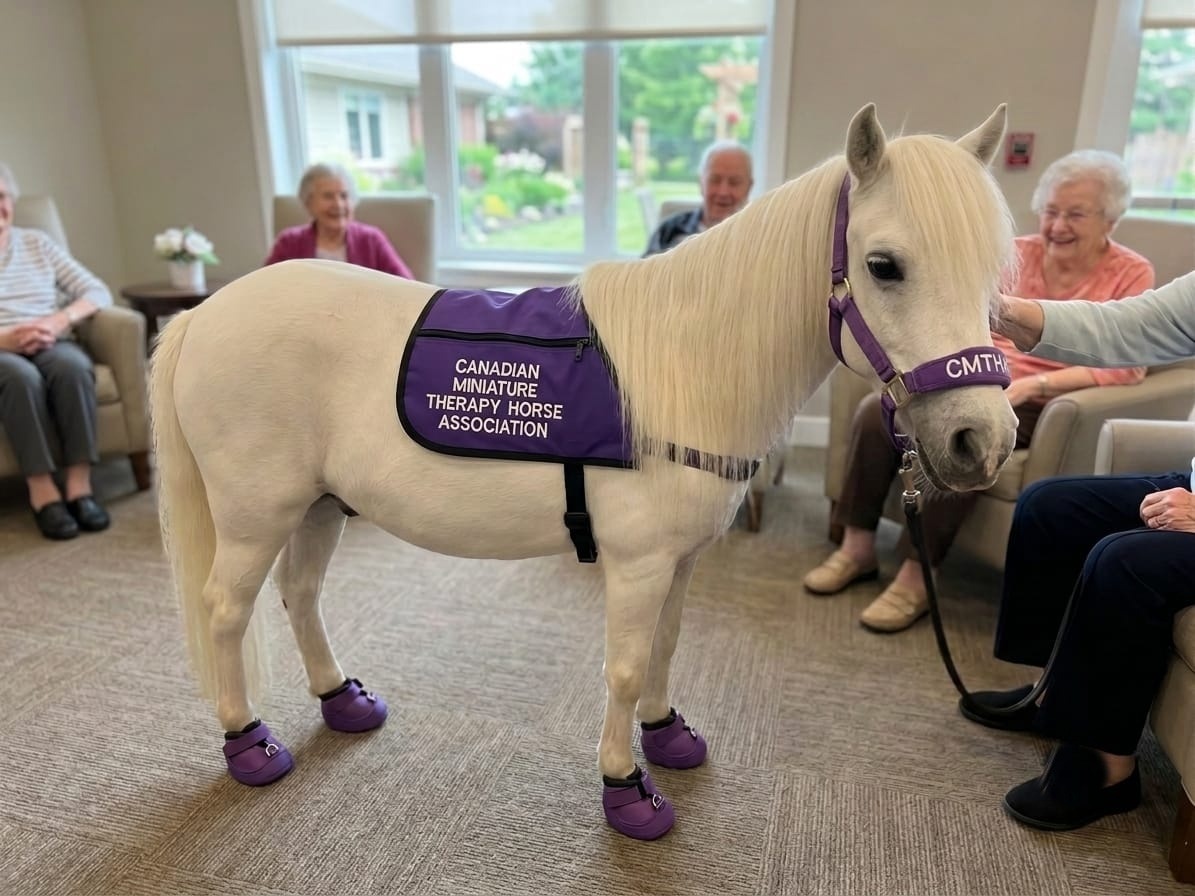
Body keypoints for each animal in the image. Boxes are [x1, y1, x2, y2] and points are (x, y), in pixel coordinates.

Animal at [150, 103, 1019, 841]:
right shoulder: (636, 565)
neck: (686, 365)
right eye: (883, 265)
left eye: (991, 273)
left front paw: (666, 736)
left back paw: (341, 700)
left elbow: (666, 648)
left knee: (299, 595)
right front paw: (625, 788)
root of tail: (204, 315)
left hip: (321, 503)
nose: (980, 439)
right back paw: (247, 742)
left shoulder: (680, 560)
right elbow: (627, 669)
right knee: (227, 608)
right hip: (257, 513)